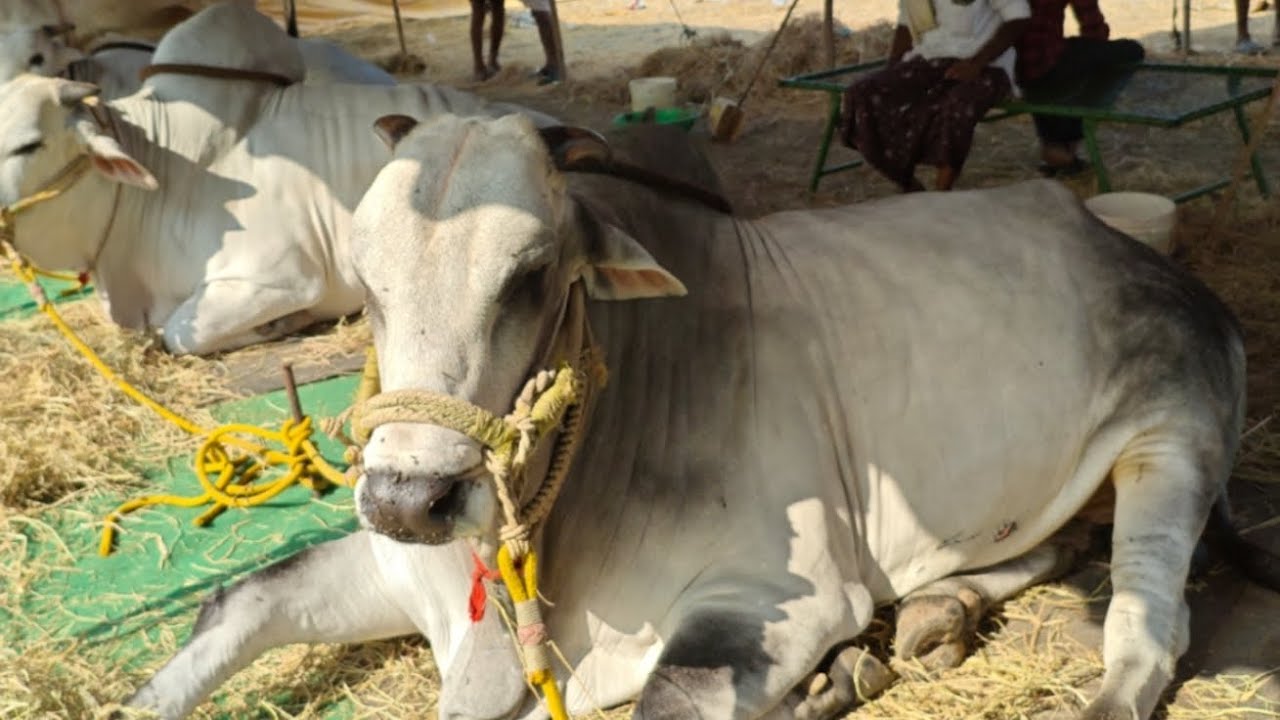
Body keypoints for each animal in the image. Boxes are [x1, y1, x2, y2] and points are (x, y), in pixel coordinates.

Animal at [122, 114, 1280, 720]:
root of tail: (1115, 240)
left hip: (1170, 441)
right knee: (1041, 548)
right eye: (363, 285)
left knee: (1145, 629)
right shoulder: (398, 573)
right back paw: (926, 618)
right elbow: (238, 604)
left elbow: (672, 691)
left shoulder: (772, 595)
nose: (411, 497)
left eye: (531, 277)